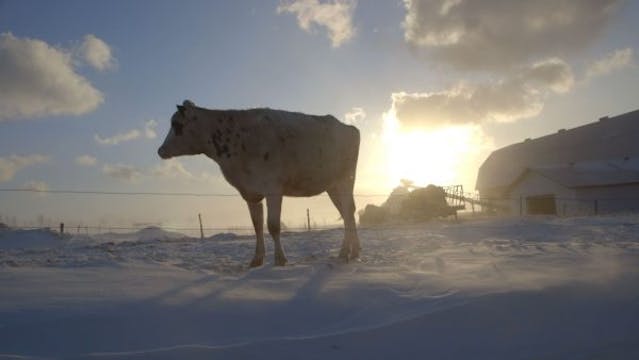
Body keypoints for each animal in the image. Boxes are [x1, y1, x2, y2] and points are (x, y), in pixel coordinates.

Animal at [158, 100, 360, 266]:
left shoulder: (273, 188)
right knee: (347, 213)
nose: (160, 150)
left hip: (345, 180)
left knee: (348, 211)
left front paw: (280, 259)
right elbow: (257, 226)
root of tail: (348, 127)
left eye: (176, 124)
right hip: (332, 186)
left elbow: (273, 225)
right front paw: (256, 260)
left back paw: (347, 252)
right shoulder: (251, 193)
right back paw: (354, 252)